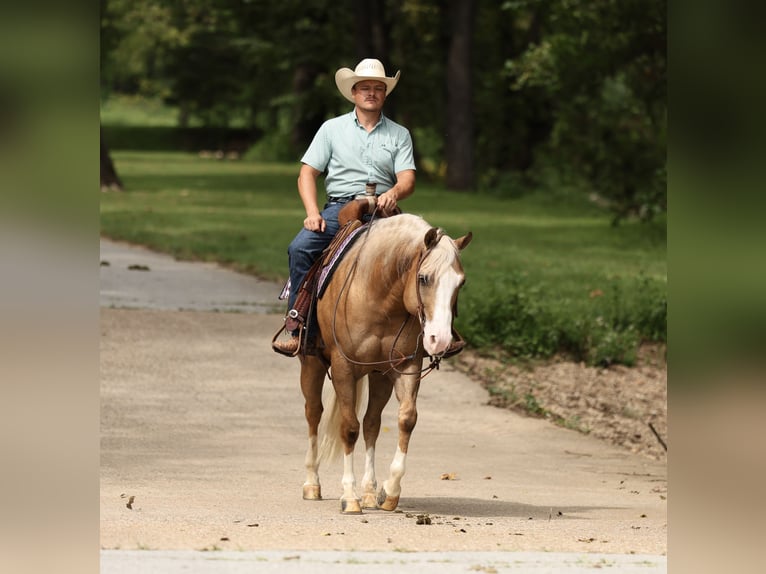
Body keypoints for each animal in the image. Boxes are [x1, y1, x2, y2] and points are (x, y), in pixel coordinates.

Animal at [298, 213, 472, 514]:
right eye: (424, 278)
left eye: (460, 283)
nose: (439, 340)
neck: (378, 295)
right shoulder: (343, 368)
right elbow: (348, 428)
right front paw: (349, 496)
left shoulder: (405, 367)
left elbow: (406, 419)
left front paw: (388, 492)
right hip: (312, 365)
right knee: (314, 413)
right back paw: (313, 483)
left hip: (379, 375)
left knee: (372, 422)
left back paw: (369, 490)